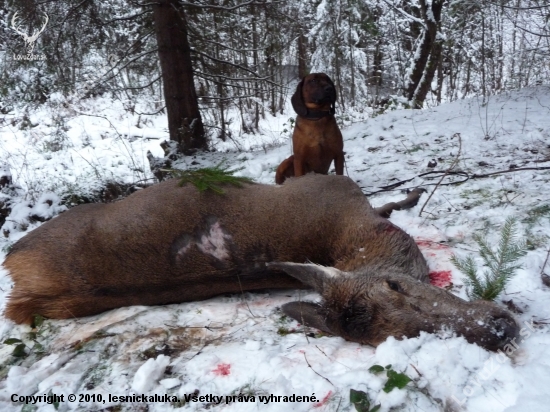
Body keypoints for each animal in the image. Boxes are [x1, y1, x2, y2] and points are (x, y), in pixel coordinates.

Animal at [4, 174, 520, 350]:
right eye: (395, 289)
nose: (499, 327)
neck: (354, 231)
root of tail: (13, 259)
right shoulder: (332, 183)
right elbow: (390, 203)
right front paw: (411, 194)